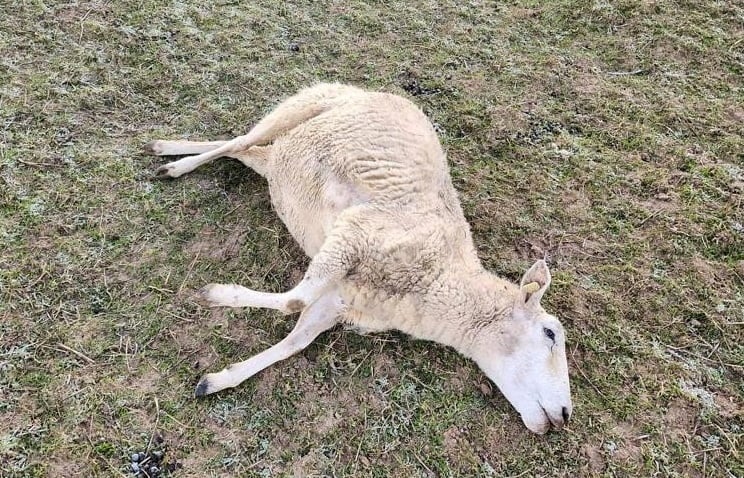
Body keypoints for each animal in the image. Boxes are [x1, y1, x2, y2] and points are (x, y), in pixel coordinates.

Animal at [147, 82, 576, 434]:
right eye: (551, 333)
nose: (565, 415)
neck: (434, 283)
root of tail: (361, 89)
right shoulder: (357, 232)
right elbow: (292, 301)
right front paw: (216, 294)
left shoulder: (340, 299)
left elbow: (295, 340)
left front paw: (217, 380)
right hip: (300, 106)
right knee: (238, 141)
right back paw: (172, 162)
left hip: (279, 156)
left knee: (246, 150)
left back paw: (166, 148)